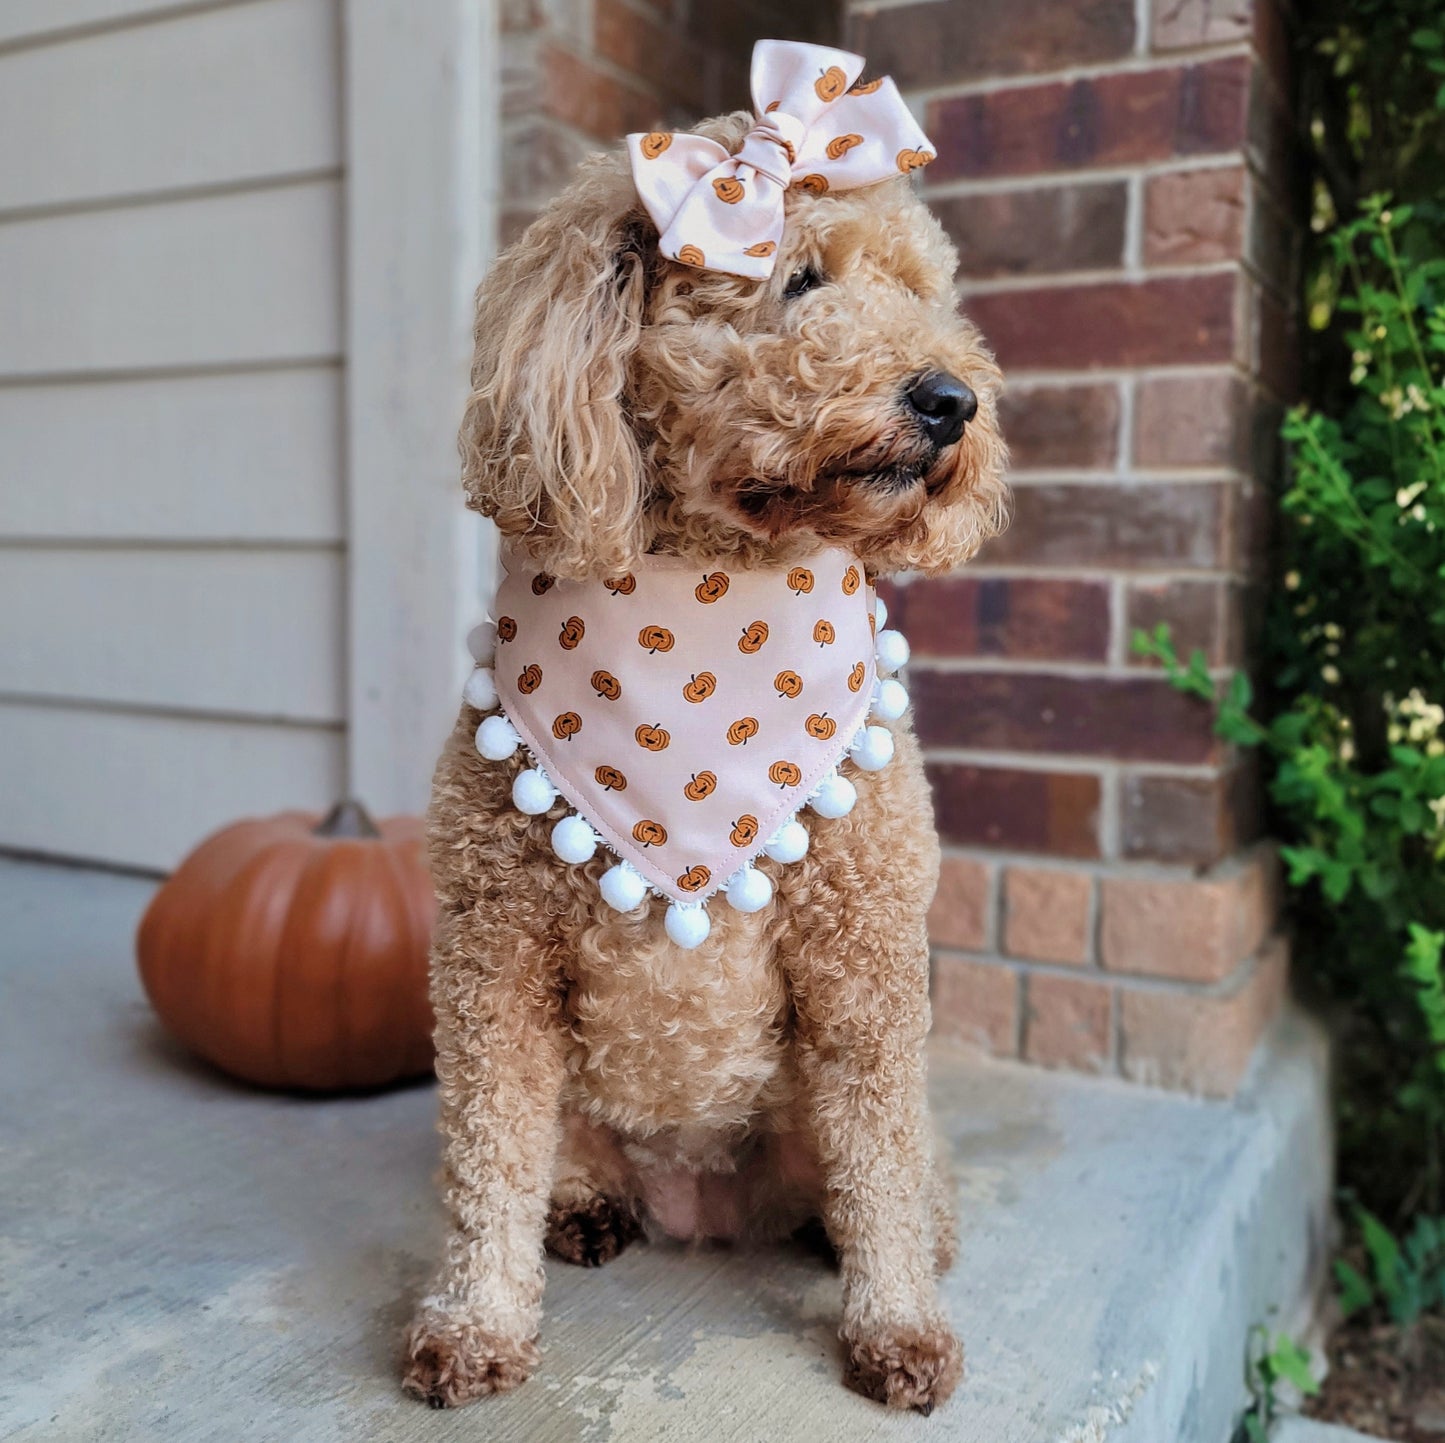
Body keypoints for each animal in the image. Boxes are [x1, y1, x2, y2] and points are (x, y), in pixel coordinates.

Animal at [398, 39, 1005, 1415]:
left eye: (924, 296)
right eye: (797, 279)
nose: (950, 399)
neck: (712, 597)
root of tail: (700, 1211)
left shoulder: (864, 959)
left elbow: (880, 1154)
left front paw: (897, 1326)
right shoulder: (491, 963)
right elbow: (484, 1165)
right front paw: (472, 1325)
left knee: (889, 1178)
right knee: (557, 1162)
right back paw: (586, 1209)